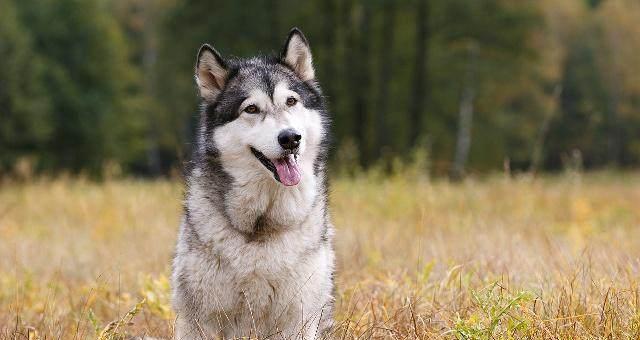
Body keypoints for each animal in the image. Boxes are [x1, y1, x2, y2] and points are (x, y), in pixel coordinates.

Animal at [172, 27, 338, 338]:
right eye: (251, 109)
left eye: (291, 101)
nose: (290, 138)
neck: (264, 224)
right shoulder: (201, 320)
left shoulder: (299, 317)